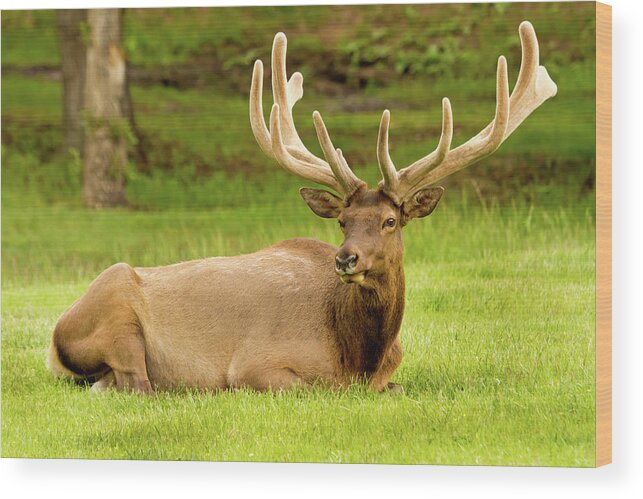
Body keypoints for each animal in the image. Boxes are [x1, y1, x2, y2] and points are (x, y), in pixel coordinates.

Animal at [47, 21, 556, 394]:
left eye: (390, 220)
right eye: (343, 222)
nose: (346, 258)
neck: (358, 357)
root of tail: (53, 339)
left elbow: (396, 388)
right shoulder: (256, 364)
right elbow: (314, 387)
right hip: (117, 314)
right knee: (136, 384)